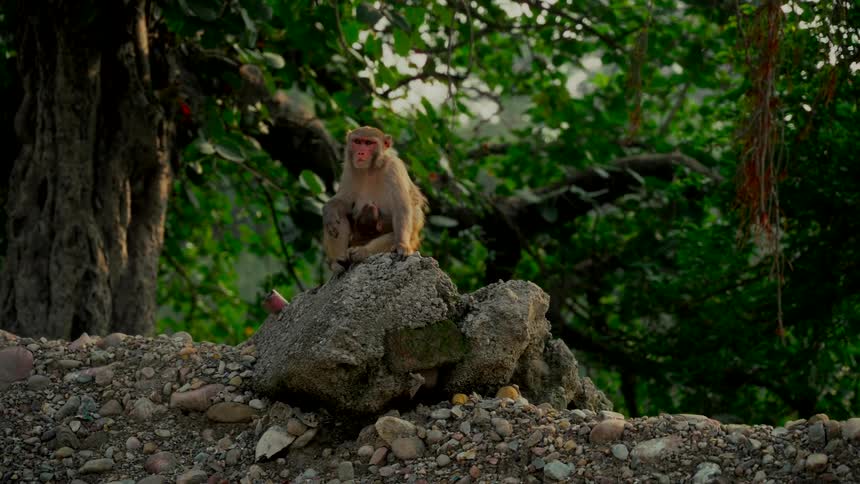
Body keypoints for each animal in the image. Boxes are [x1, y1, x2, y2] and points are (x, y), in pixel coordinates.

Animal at [323, 126, 428, 274]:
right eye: (357, 141)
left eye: (369, 143)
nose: (361, 152)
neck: (370, 169)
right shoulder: (349, 169)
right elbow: (343, 202)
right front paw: (329, 211)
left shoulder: (394, 168)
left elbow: (401, 208)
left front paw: (402, 245)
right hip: (354, 239)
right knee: (340, 217)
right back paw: (338, 262)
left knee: (397, 233)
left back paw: (362, 252)